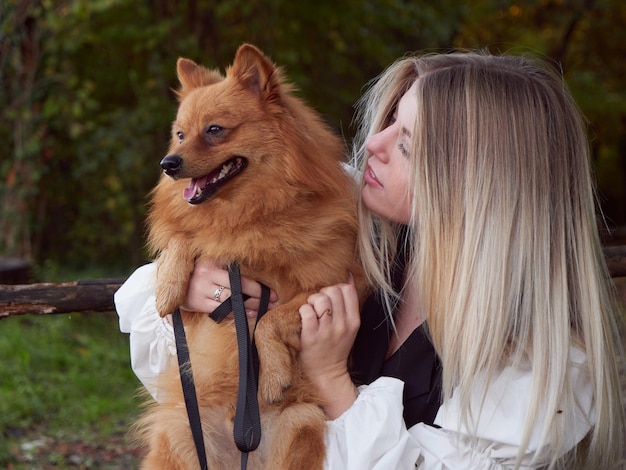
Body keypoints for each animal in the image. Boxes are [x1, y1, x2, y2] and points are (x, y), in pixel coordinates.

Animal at [134, 42, 364, 468]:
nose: (168, 164)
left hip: (300, 421)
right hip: (180, 429)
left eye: (214, 130)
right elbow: (185, 236)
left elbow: (270, 319)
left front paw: (273, 376)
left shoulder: (337, 284)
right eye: (180, 134)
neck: (247, 215)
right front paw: (169, 287)